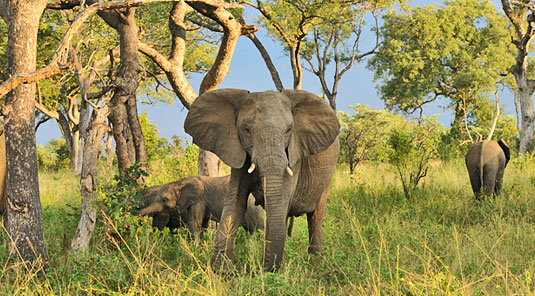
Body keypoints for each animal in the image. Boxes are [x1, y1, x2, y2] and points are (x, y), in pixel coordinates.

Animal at [186, 89, 342, 272]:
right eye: (246, 130)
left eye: (289, 130)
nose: (265, 269)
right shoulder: (238, 153)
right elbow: (235, 203)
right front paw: (223, 272)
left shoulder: (293, 156)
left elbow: (281, 201)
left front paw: (267, 272)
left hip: (327, 178)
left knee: (315, 216)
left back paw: (316, 261)